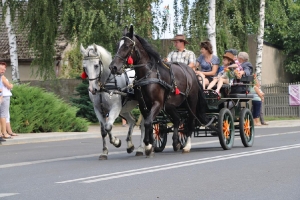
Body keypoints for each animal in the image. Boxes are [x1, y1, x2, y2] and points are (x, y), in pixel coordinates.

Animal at [109, 25, 207, 156]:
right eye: (117, 45)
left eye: (127, 46)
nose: (113, 67)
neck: (148, 75)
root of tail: (192, 72)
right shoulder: (143, 105)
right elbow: (149, 123)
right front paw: (149, 144)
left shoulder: (157, 104)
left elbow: (147, 123)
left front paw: (148, 145)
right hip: (170, 105)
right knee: (178, 119)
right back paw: (176, 142)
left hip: (191, 102)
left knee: (190, 122)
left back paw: (187, 146)